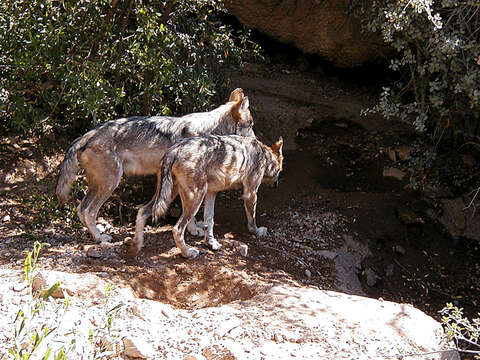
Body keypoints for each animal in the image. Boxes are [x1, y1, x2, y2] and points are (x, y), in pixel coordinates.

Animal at [56, 88, 255, 243]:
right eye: (251, 124)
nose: (256, 139)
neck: (208, 130)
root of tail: (86, 135)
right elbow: (187, 210)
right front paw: (192, 229)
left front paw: (193, 229)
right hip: (110, 184)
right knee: (89, 211)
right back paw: (100, 239)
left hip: (99, 185)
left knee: (81, 209)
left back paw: (94, 235)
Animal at [129, 134, 284, 258]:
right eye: (280, 171)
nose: (277, 185)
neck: (264, 155)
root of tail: (174, 150)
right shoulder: (250, 194)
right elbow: (252, 220)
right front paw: (257, 232)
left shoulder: (211, 193)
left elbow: (209, 221)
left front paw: (211, 243)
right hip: (195, 198)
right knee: (177, 229)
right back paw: (188, 253)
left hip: (171, 196)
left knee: (142, 211)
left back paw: (136, 246)